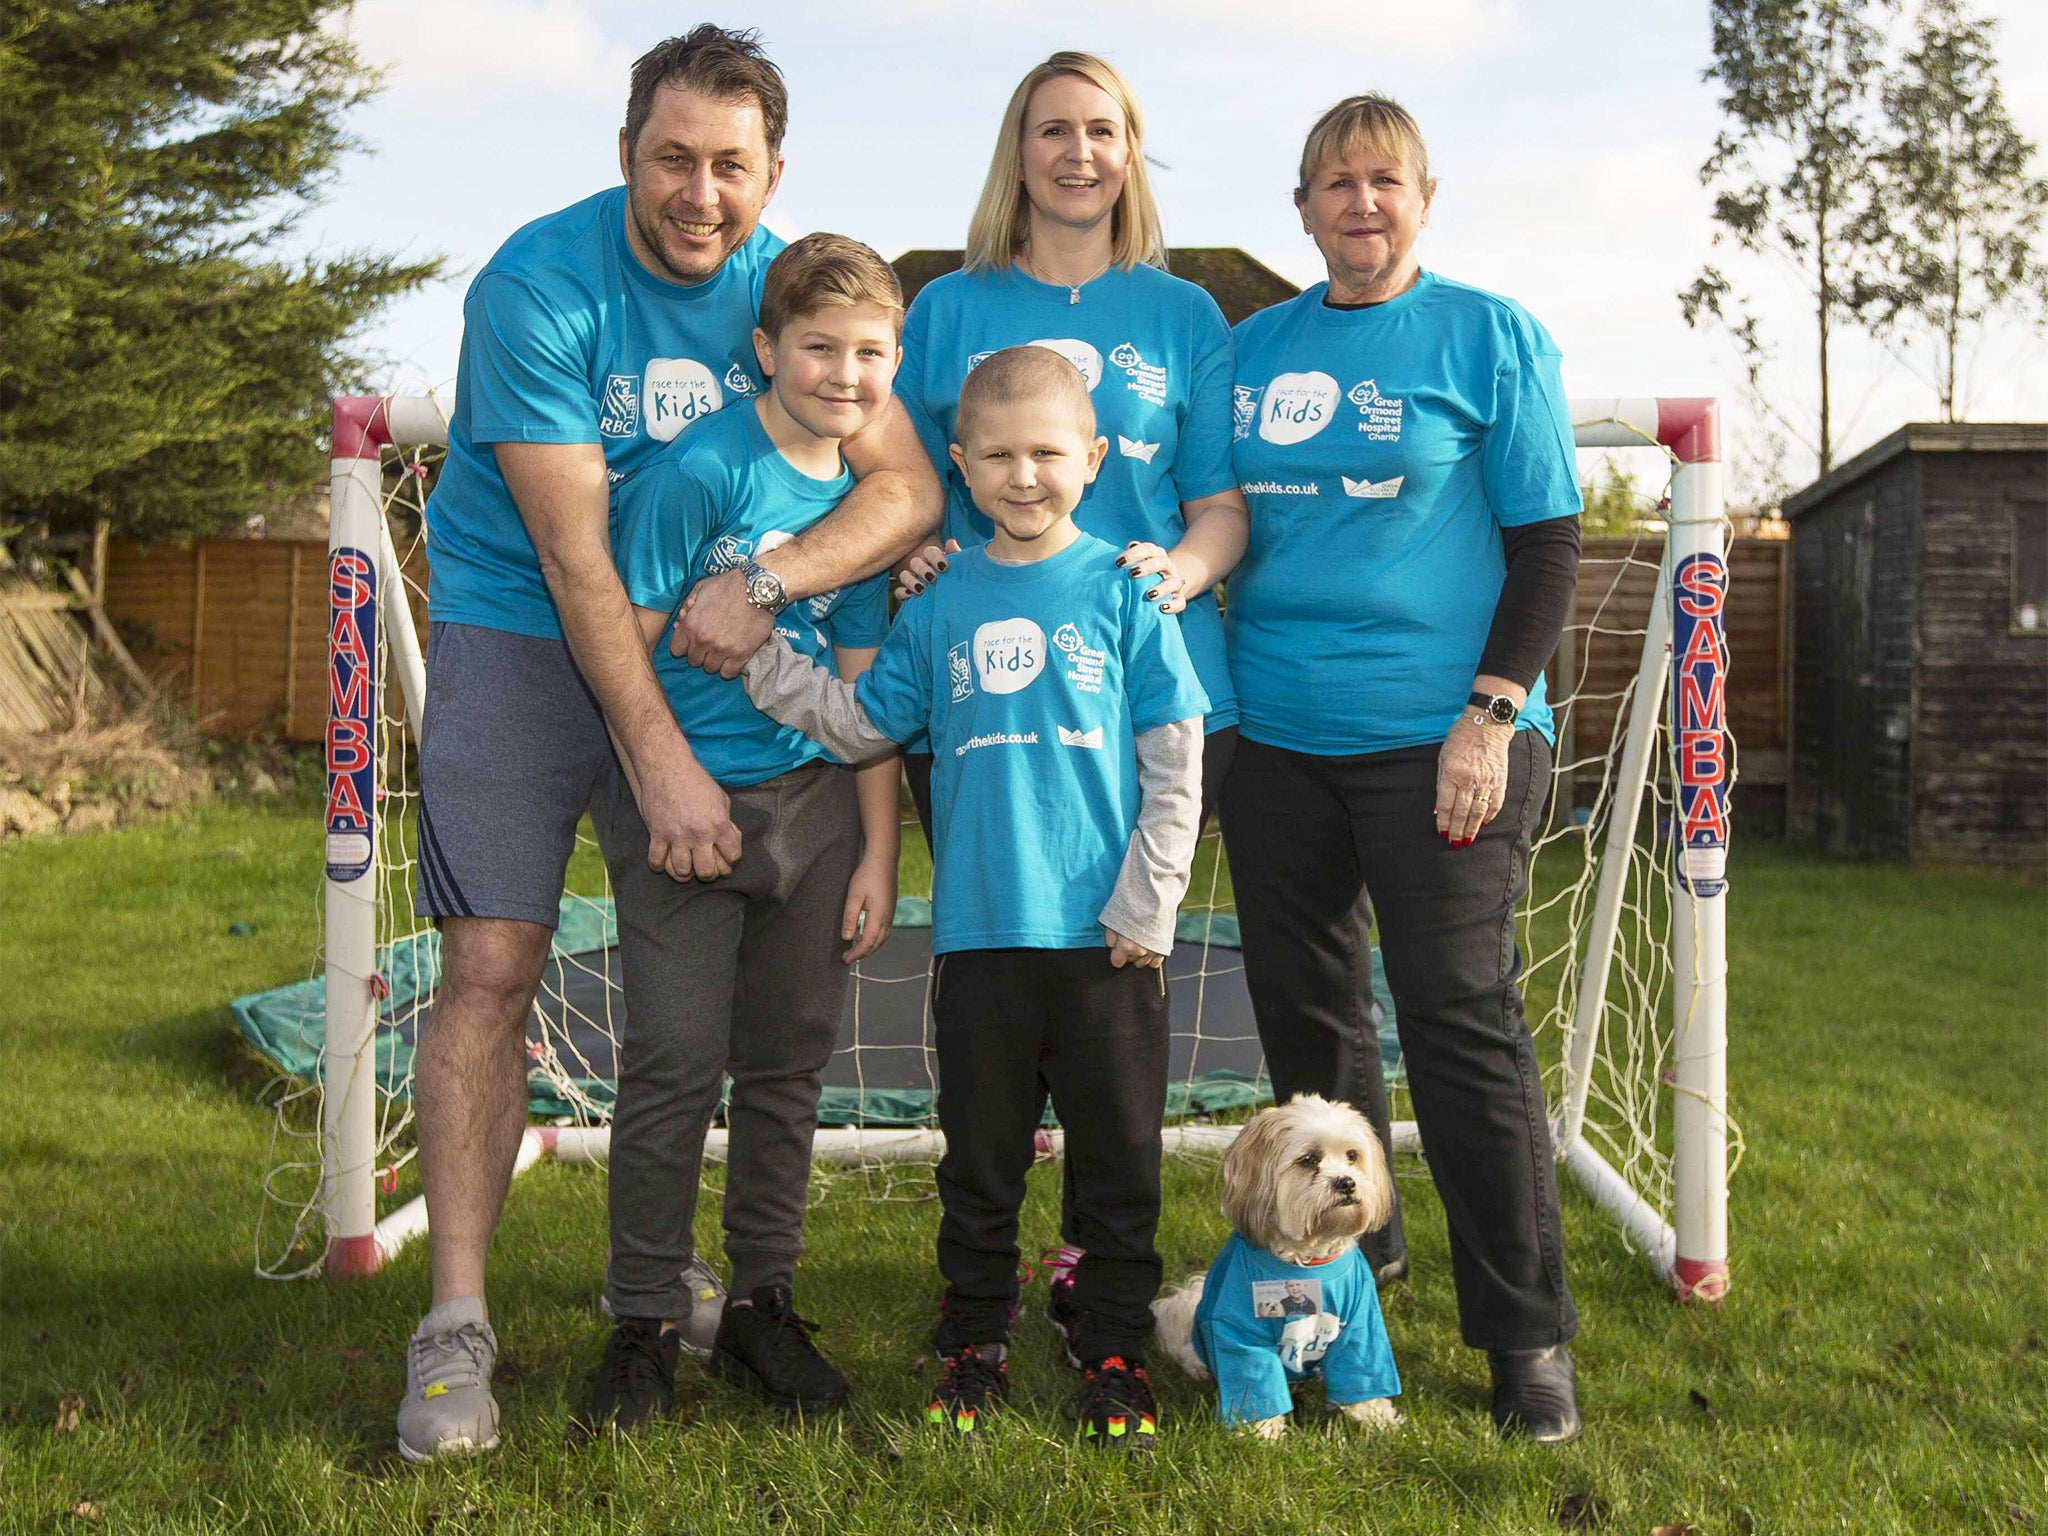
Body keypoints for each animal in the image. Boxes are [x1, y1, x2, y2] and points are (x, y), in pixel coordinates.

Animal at [1155, 1097, 1409, 1441]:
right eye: (1308, 1160)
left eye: (1352, 1156)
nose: (1346, 1182)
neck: (1309, 1261)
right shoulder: (1238, 1331)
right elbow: (1253, 1380)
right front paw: (1260, 1431)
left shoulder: (1362, 1324)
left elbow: (1364, 1371)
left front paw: (1378, 1419)